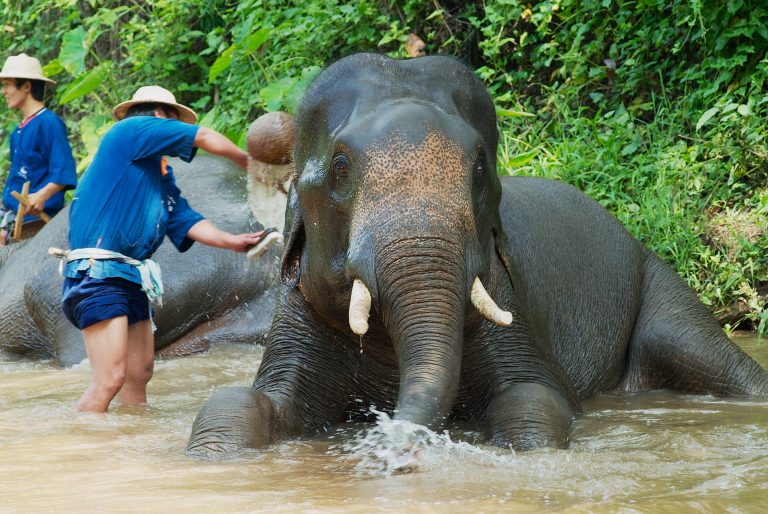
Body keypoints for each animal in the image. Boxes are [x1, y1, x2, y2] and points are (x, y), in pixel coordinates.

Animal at [186, 51, 768, 452]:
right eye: (340, 168)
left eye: (481, 166)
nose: (390, 439)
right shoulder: (295, 313)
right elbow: (238, 400)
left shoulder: (510, 301)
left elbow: (535, 399)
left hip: (657, 276)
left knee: (704, 355)